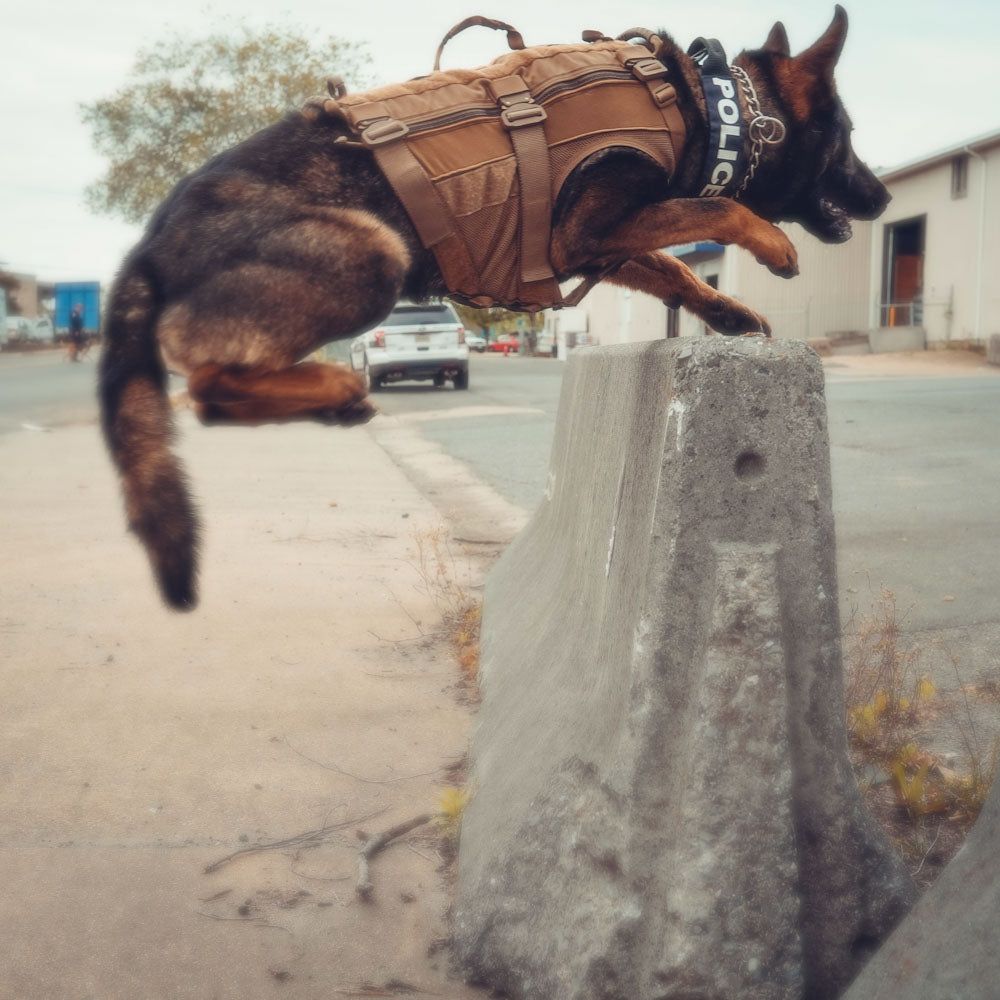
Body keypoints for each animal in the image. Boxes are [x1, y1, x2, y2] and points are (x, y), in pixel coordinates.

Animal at [99, 5, 884, 608]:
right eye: (847, 139)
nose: (882, 198)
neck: (708, 108)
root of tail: (149, 246)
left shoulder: (600, 246)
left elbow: (671, 269)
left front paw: (725, 313)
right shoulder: (591, 228)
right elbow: (712, 208)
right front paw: (771, 244)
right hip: (375, 252)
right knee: (207, 385)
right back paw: (334, 387)